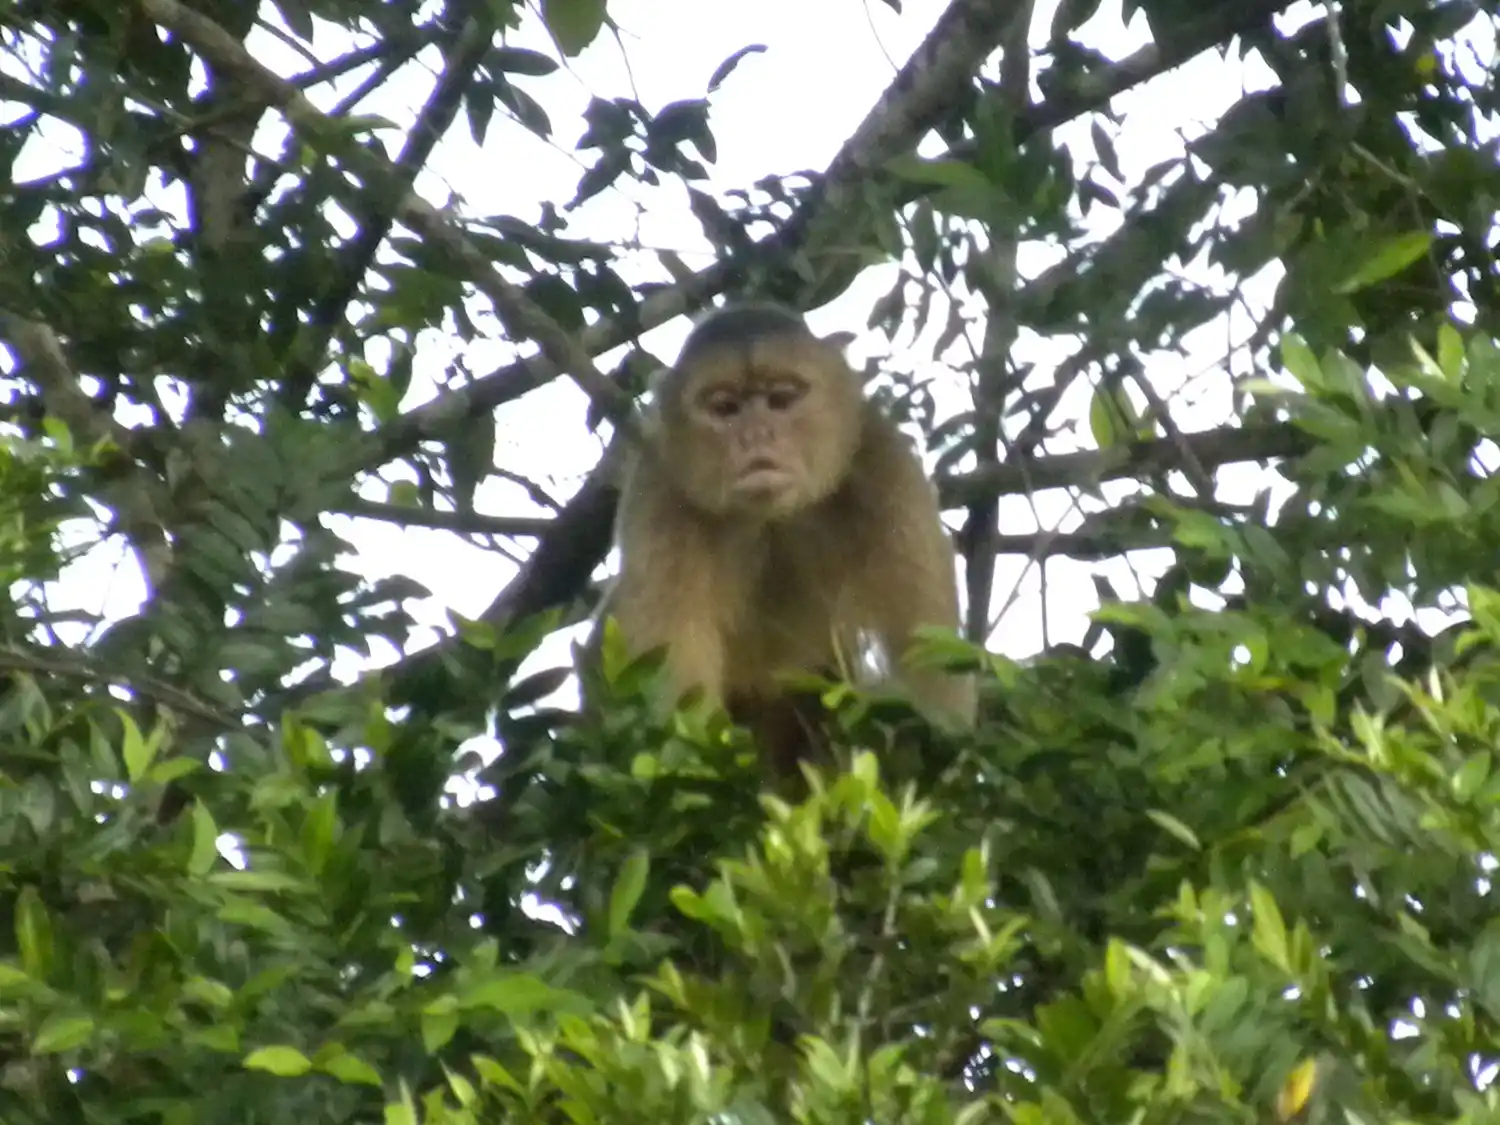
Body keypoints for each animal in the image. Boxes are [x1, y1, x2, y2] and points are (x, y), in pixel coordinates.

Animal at [601, 301, 976, 770]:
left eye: (780, 400)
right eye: (726, 408)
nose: (756, 435)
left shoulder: (884, 466)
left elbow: (932, 674)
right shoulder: (661, 490)